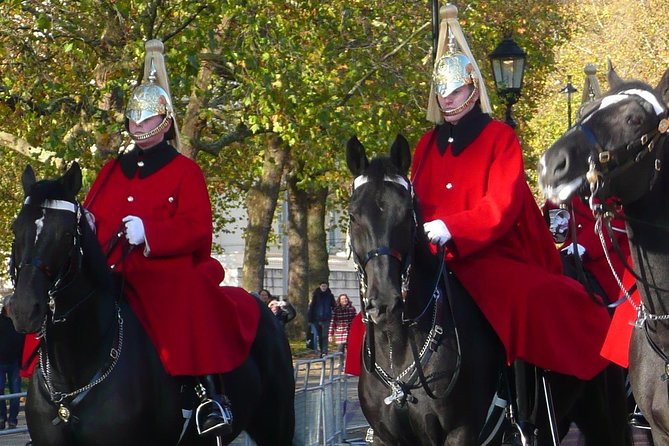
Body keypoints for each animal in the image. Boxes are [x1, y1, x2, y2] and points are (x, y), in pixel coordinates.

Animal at [350, 135, 632, 446]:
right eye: (353, 216)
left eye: (406, 214)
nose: (385, 303)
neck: (399, 348)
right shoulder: (386, 437)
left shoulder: (462, 432)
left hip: (604, 418)